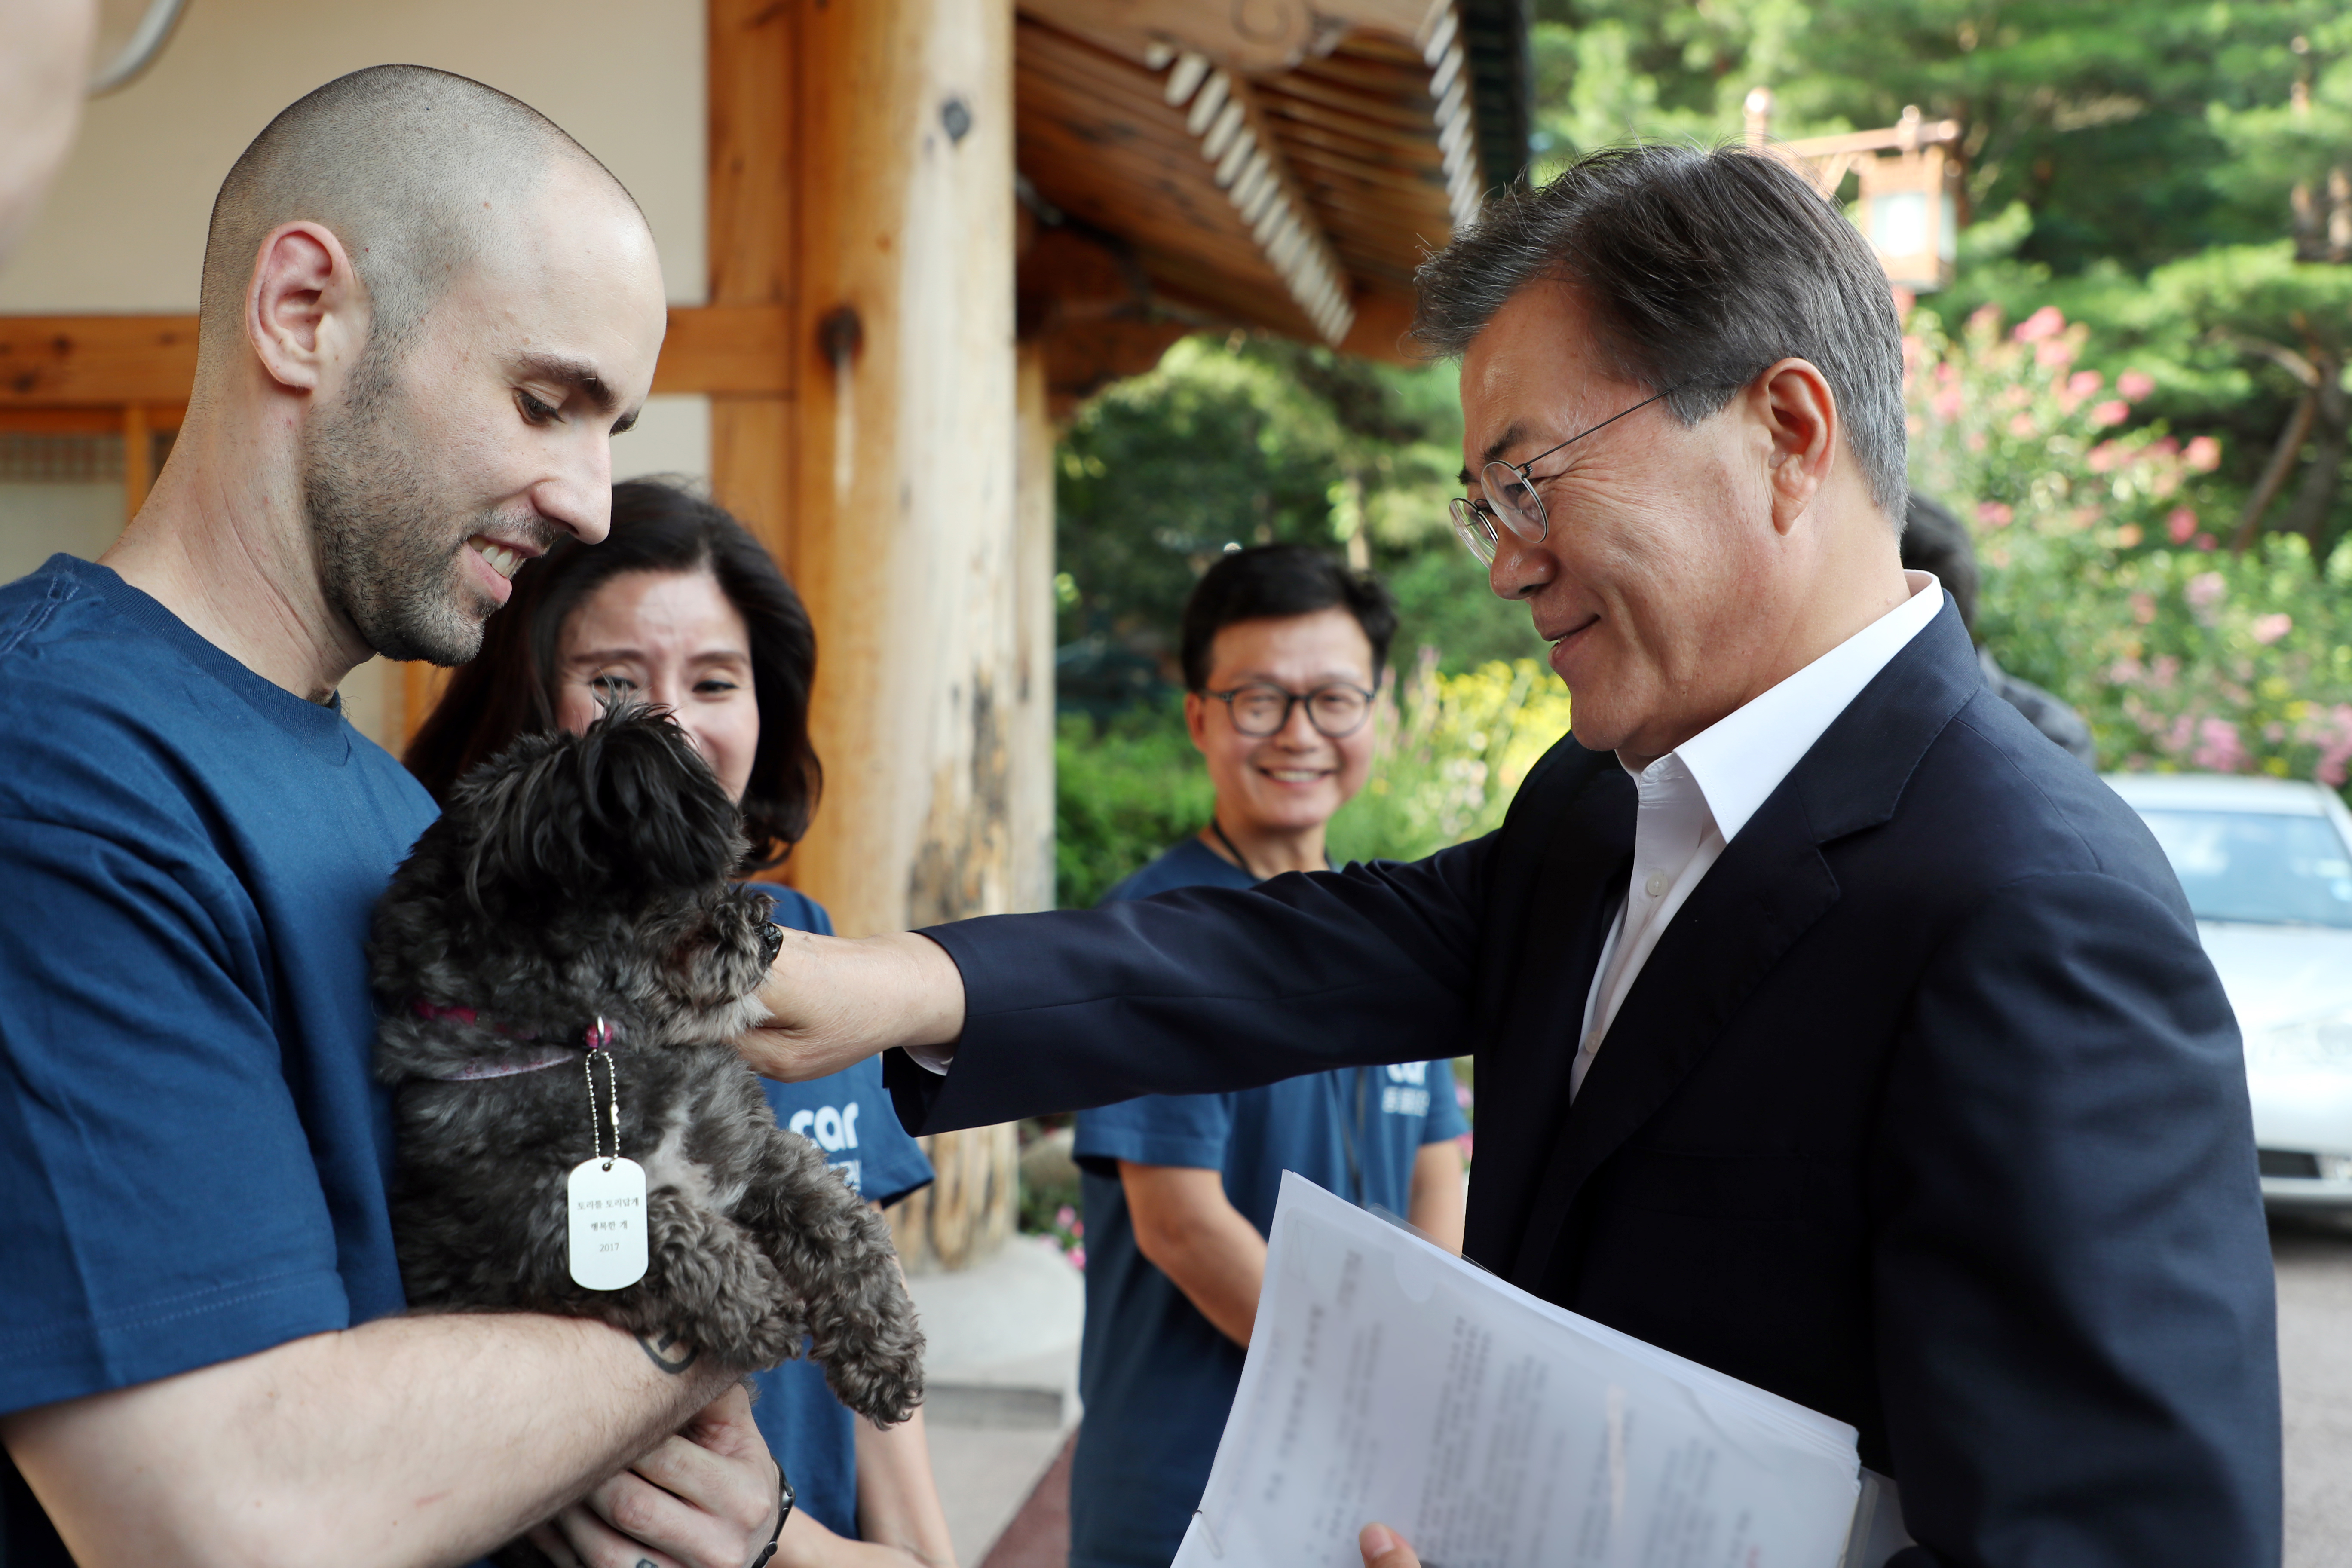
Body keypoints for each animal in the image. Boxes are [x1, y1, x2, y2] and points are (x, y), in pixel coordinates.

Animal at [367, 705, 917, 1429]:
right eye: (681, 889)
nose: (772, 937)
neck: (600, 1048)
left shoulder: (753, 1150)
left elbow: (838, 1219)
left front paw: (884, 1344)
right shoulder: (523, 1229)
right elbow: (665, 1225)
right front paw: (756, 1302)